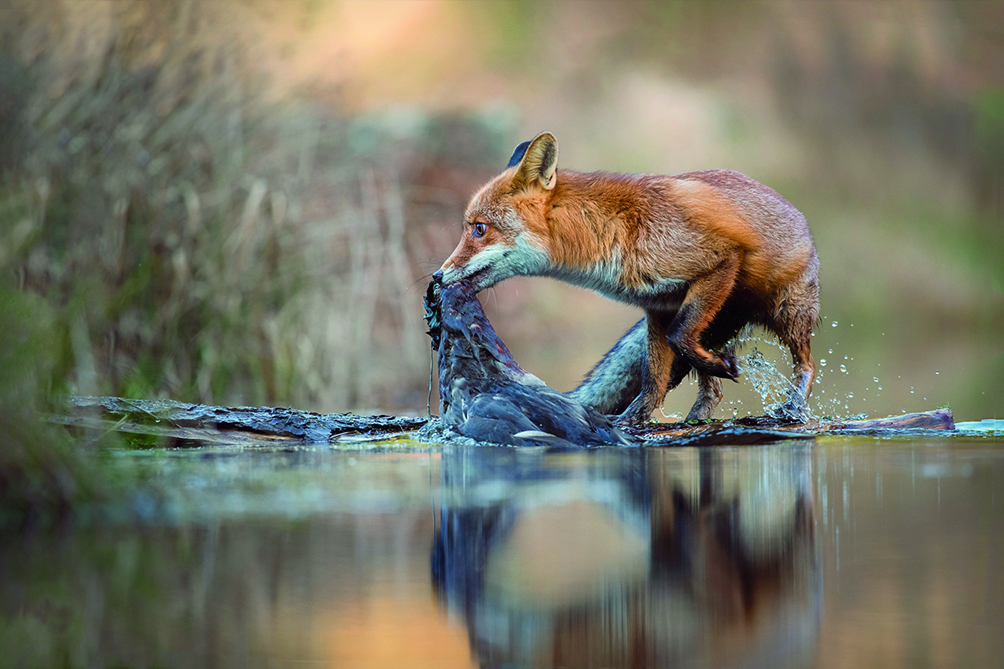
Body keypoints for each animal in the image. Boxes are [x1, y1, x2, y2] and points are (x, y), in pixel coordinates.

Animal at [435, 131, 819, 421]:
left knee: (806, 365)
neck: (612, 233)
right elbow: (653, 384)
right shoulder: (658, 308)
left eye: (479, 228)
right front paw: (630, 423)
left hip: (789, 313)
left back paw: (794, 406)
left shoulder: (720, 258)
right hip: (713, 327)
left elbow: (679, 338)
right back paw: (697, 417)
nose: (438, 276)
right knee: (711, 390)